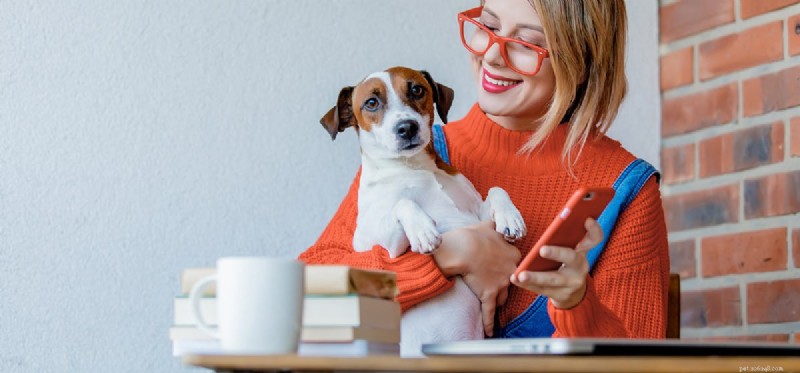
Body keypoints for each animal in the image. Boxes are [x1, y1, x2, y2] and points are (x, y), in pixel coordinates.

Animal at [318, 66, 524, 354]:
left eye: (416, 89)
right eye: (371, 102)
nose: (407, 127)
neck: (414, 166)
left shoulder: (475, 218)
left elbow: (496, 190)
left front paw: (510, 217)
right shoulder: (382, 245)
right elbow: (403, 203)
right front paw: (423, 230)